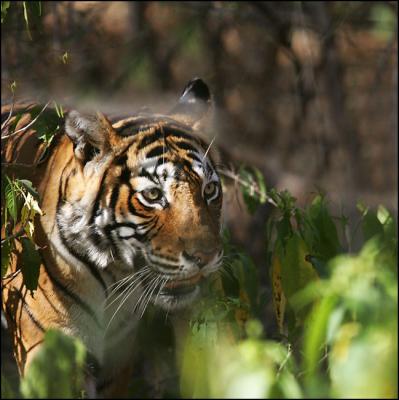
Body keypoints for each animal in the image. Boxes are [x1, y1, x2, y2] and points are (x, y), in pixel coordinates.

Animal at [0, 77, 225, 396]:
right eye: (153, 195)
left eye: (209, 190)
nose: (205, 258)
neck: (114, 277)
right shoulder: (49, 350)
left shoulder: (117, 354)